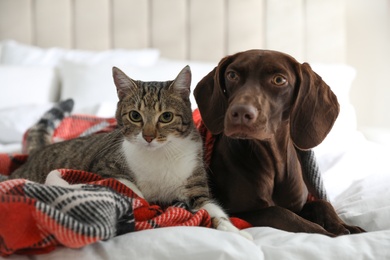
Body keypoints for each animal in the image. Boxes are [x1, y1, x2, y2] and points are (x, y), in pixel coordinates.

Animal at [11, 65, 253, 240]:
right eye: (135, 116)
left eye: (166, 117)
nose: (148, 136)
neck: (159, 154)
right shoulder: (104, 167)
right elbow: (131, 188)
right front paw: (144, 202)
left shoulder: (195, 185)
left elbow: (211, 209)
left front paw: (235, 232)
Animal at [195, 48, 366, 236]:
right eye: (232, 75)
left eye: (279, 80)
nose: (240, 113)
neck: (273, 162)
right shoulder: (239, 212)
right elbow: (280, 213)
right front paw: (328, 234)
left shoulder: (300, 205)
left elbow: (322, 203)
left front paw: (345, 226)